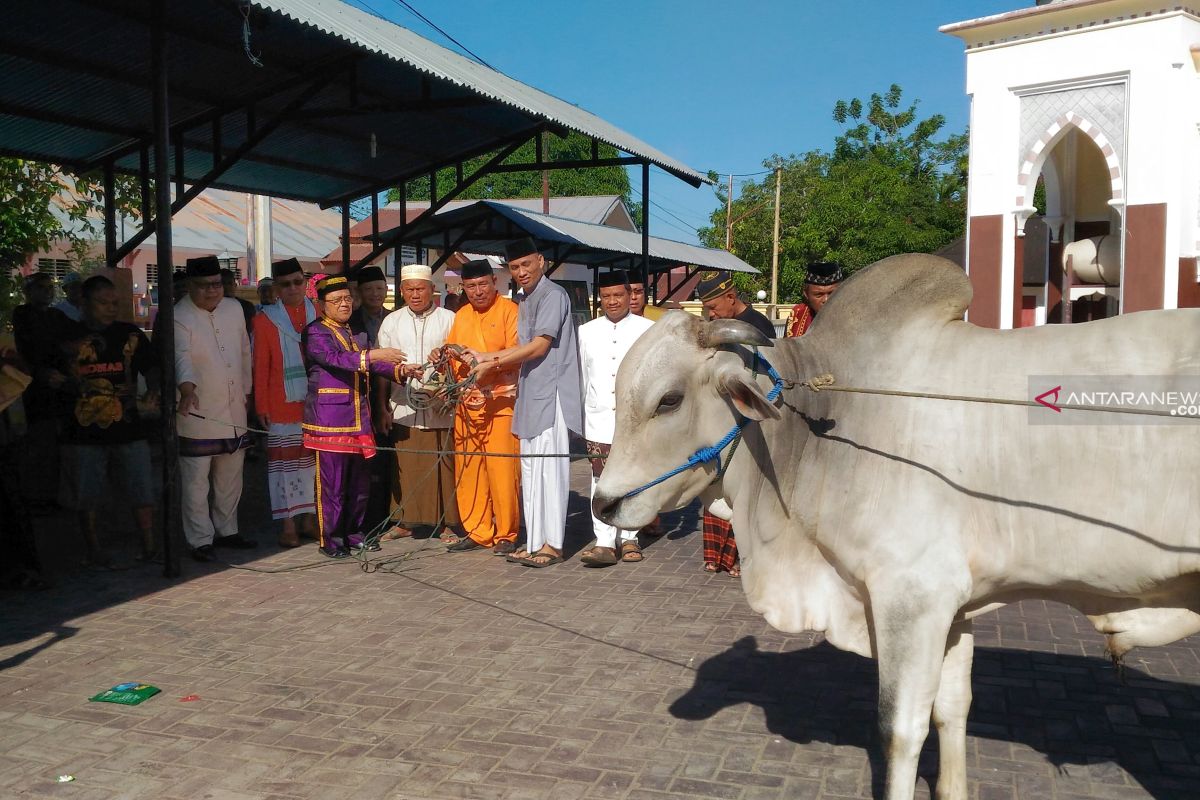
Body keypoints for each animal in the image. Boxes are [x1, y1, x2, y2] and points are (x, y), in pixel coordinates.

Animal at [592, 253, 1200, 796]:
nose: (604, 503)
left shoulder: (912, 597)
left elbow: (901, 731)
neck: (821, 427)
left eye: (669, 400)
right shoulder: (955, 607)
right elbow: (951, 711)